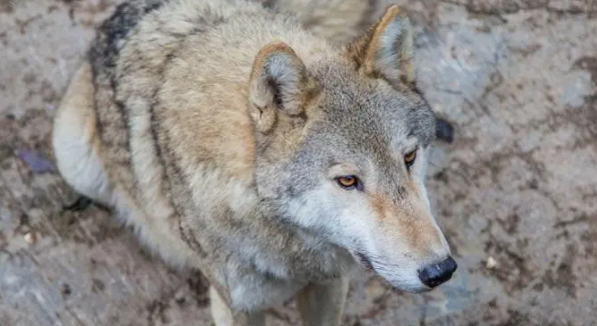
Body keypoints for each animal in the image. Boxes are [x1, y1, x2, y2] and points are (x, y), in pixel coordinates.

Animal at [53, 1, 456, 324]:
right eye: (347, 180)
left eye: (409, 157)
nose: (440, 270)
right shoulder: (238, 306)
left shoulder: (329, 285)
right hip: (73, 156)